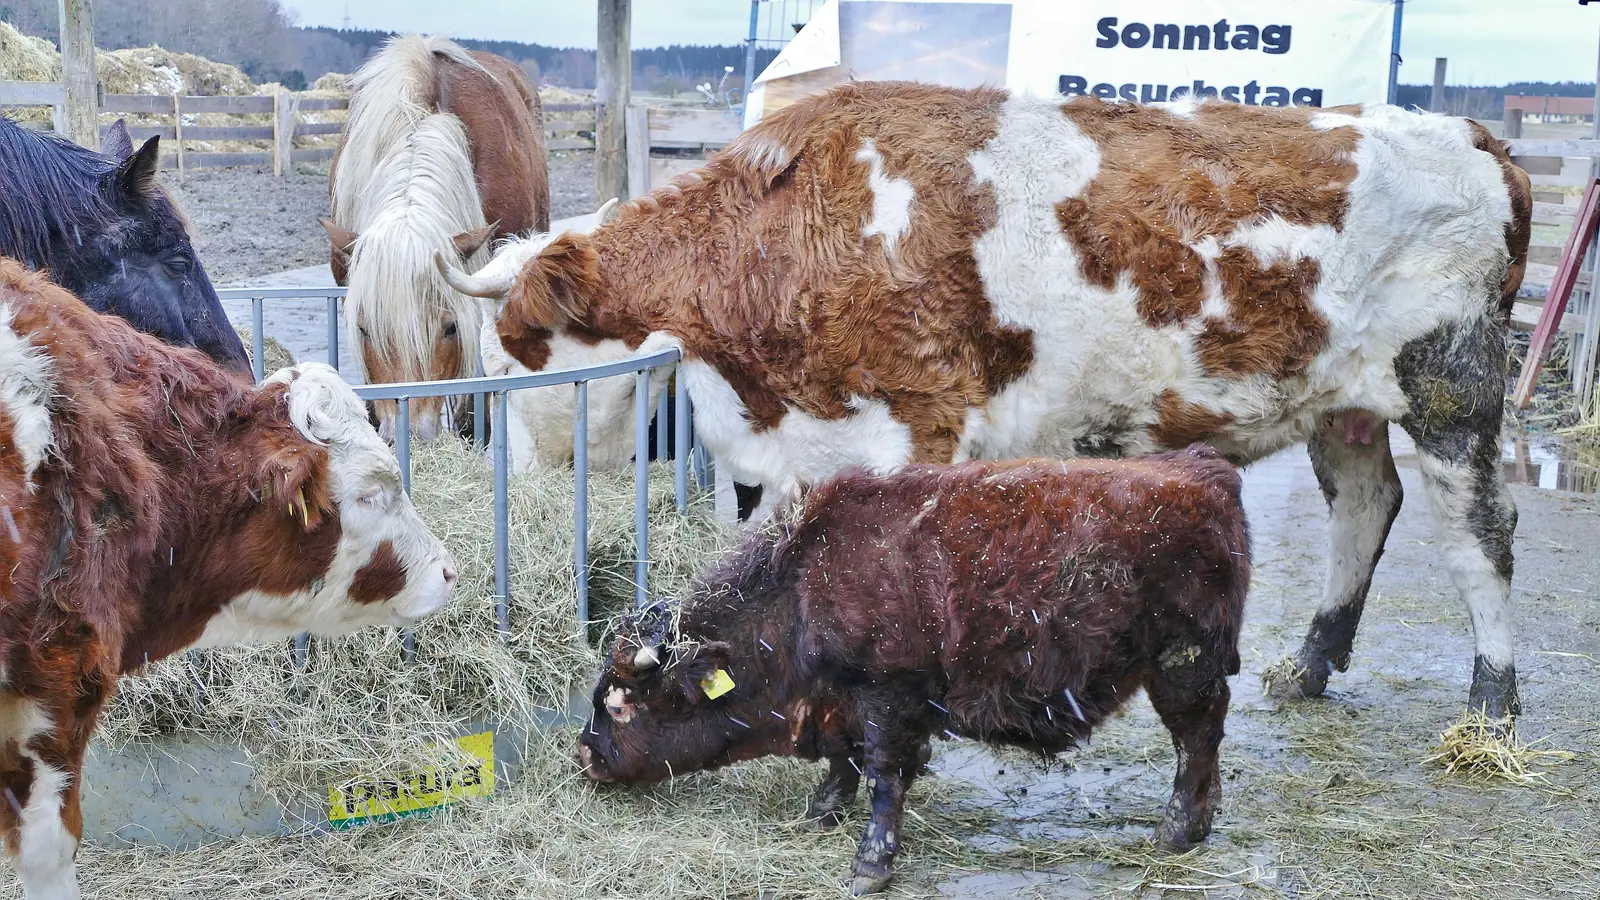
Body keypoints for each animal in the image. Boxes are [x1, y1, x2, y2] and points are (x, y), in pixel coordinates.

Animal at [441, 82, 1536, 720]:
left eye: (516, 353)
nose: (515, 482)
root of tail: (1478, 139)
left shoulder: (912, 427)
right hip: (1342, 400)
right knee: (1364, 506)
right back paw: (1308, 665)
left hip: (1453, 385)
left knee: (1481, 532)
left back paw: (1492, 696)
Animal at [582, 445, 1254, 890]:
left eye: (621, 704)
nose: (586, 755)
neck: (802, 590)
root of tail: (1201, 468)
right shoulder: (843, 702)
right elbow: (843, 760)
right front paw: (822, 809)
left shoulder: (888, 697)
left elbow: (884, 775)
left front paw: (871, 863)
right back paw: (1204, 816)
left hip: (1183, 665)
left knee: (1197, 739)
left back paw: (1178, 828)